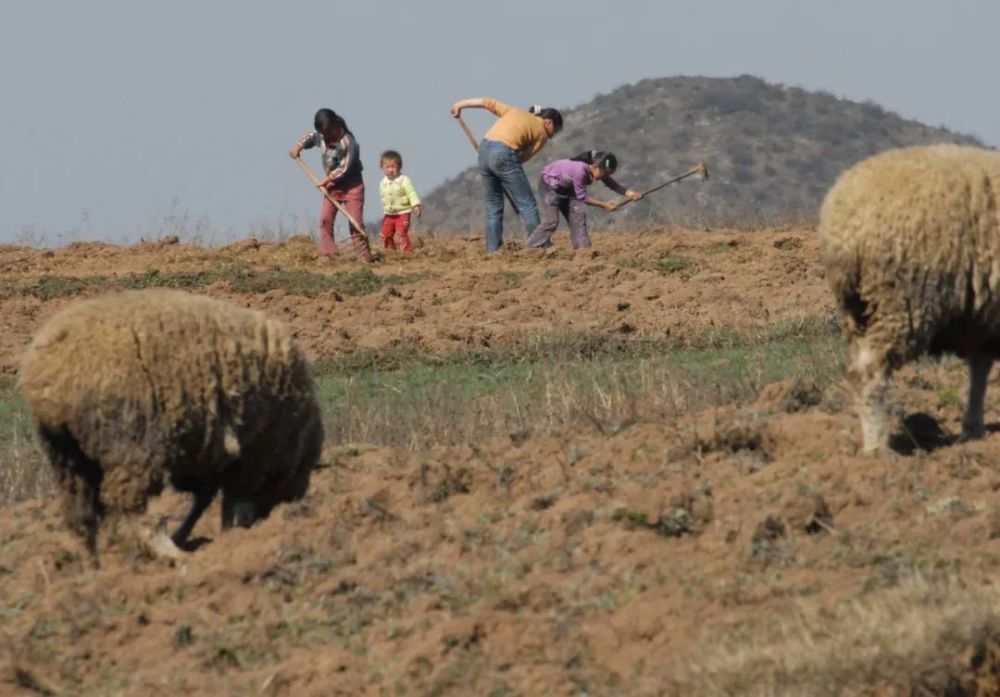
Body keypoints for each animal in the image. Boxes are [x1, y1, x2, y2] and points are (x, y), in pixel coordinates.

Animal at [18, 286, 324, 564]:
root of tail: (49, 378)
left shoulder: (211, 456)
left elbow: (206, 499)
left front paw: (205, 535)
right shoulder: (251, 455)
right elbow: (230, 500)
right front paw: (227, 536)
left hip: (66, 456)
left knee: (81, 515)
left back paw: (93, 566)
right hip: (129, 442)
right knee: (128, 504)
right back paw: (169, 553)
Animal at [816, 144, 1000, 454]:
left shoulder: (984, 319)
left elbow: (980, 369)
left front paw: (973, 430)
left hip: (858, 311)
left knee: (856, 368)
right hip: (903, 299)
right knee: (870, 371)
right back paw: (877, 448)